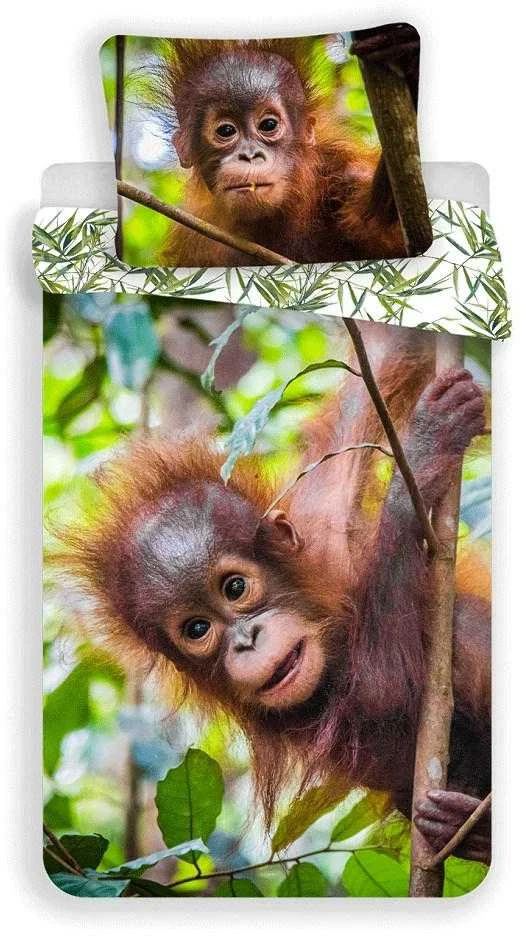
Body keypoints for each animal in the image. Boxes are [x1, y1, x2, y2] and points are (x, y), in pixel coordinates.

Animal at [55, 321, 491, 864]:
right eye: (197, 628)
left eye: (235, 587)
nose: (246, 641)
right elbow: (385, 690)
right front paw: (422, 454)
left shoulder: (324, 516)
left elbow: (387, 357)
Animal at [152, 26, 429, 267]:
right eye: (226, 131)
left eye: (268, 125)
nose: (250, 155)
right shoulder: (194, 238)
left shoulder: (347, 173)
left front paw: (408, 57)